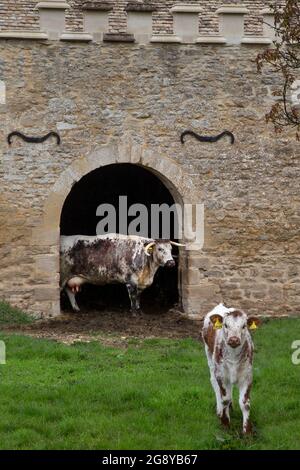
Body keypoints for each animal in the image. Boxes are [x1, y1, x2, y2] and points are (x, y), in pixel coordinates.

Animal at [203, 304, 262, 434]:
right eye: (225, 325)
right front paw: (225, 423)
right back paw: (220, 410)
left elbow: (245, 403)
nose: (234, 339)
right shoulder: (221, 375)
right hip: (210, 357)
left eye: (244, 326)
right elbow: (224, 398)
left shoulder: (247, 376)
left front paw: (247, 431)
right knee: (214, 384)